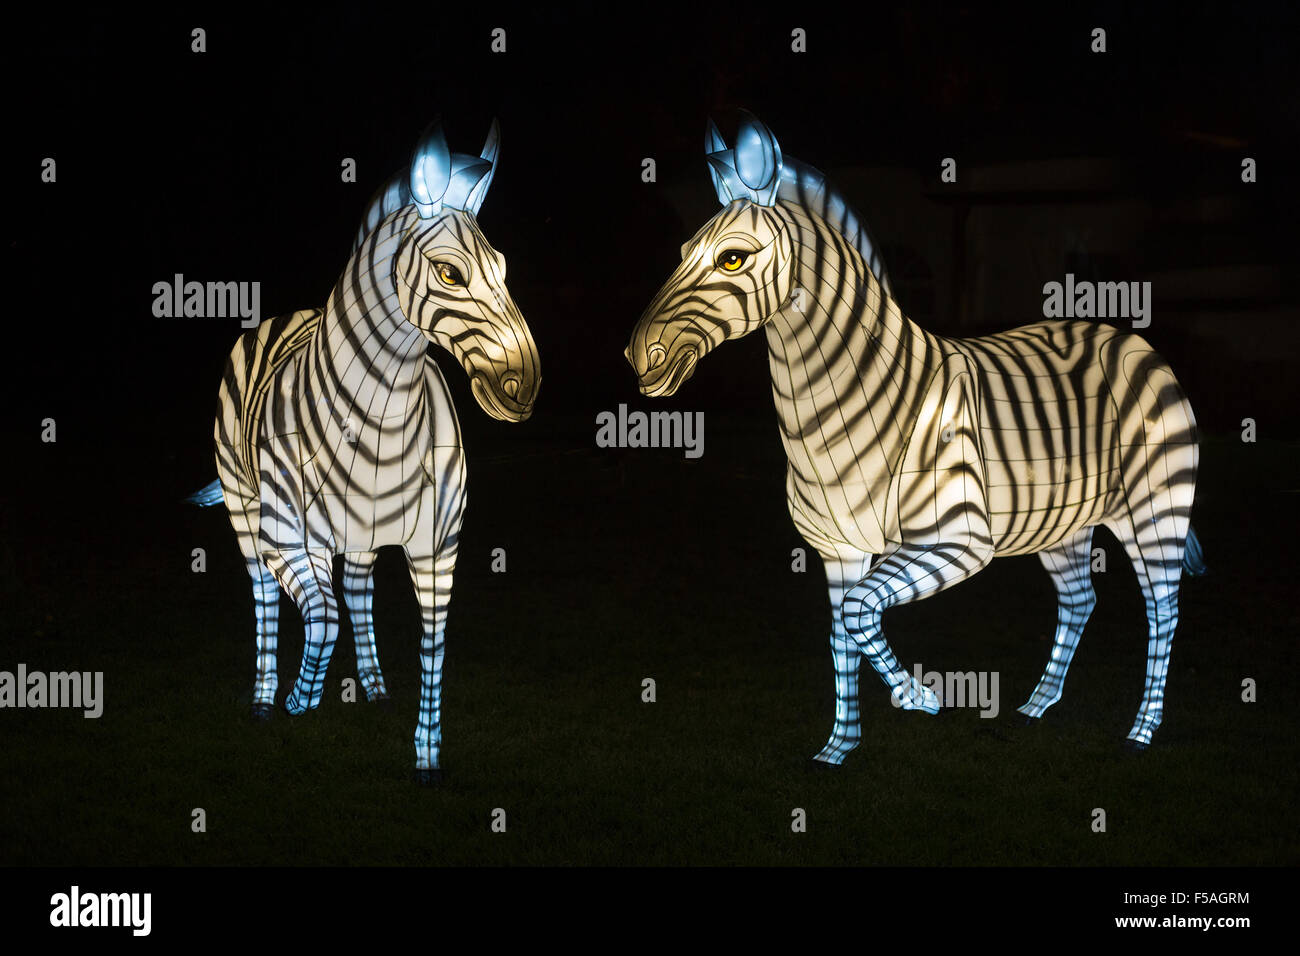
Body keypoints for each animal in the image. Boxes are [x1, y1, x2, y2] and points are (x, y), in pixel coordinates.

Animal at [196, 117, 540, 782]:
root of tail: (288, 313)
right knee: (268, 599)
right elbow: (320, 616)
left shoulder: (438, 547)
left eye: (503, 267)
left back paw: (375, 686)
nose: (526, 384)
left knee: (355, 591)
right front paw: (300, 700)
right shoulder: (285, 535)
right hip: (245, 513)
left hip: (357, 536)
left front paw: (427, 755)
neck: (384, 416)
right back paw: (265, 699)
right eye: (450, 274)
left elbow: (431, 645)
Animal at [625, 111, 1203, 763]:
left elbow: (859, 614)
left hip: (1155, 509)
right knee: (1082, 599)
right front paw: (839, 749)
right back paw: (1035, 707)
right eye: (682, 253)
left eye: (732, 259)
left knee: (1163, 609)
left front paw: (918, 697)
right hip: (1062, 523)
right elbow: (841, 636)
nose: (638, 357)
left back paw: (1141, 732)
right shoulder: (838, 551)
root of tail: (1128, 337)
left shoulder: (959, 541)